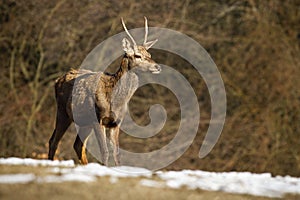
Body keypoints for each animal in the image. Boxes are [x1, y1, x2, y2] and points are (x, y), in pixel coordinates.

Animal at [48, 17, 162, 166]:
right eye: (137, 55)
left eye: (149, 54)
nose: (157, 67)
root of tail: (57, 80)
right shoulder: (98, 119)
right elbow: (105, 151)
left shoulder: (116, 123)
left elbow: (117, 153)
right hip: (63, 112)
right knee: (53, 141)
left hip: (84, 122)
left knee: (77, 145)